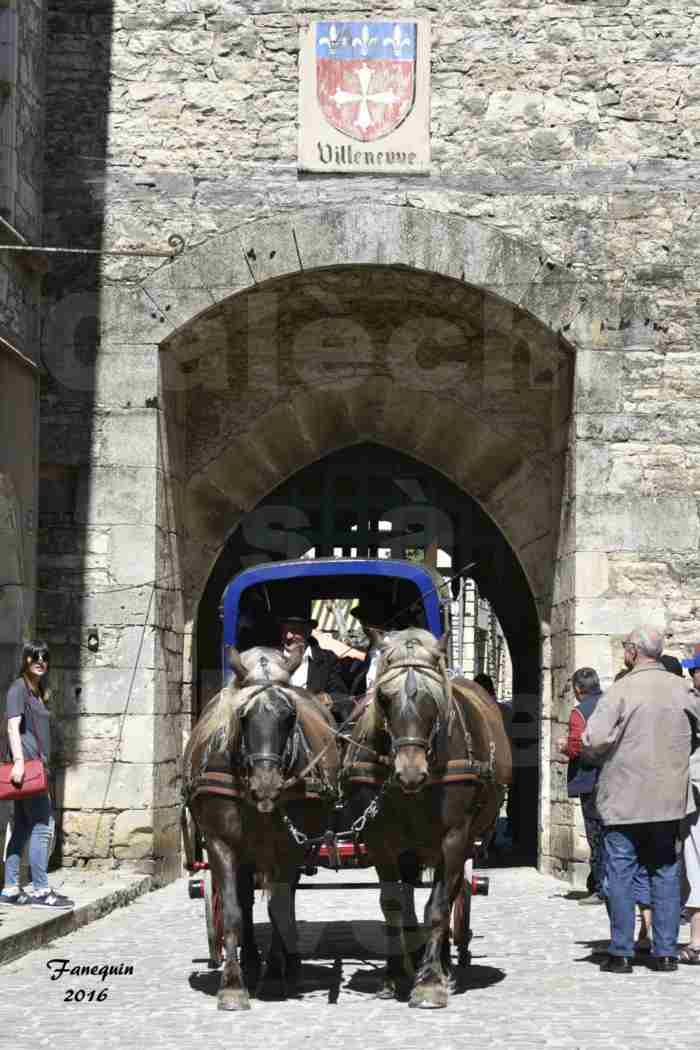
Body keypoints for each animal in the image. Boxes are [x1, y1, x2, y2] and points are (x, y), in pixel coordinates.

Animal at [183, 642, 340, 1012]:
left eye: (290, 716)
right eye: (243, 717)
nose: (266, 785)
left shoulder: (289, 847)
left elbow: (279, 905)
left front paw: (273, 977)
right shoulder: (221, 843)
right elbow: (234, 910)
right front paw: (232, 985)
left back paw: (286, 966)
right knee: (244, 898)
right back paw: (252, 963)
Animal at [342, 630, 512, 1007]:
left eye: (434, 700)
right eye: (384, 697)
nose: (410, 773)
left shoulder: (454, 836)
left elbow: (437, 907)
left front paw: (431, 981)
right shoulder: (381, 840)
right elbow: (392, 903)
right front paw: (394, 975)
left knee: (450, 895)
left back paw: (443, 964)